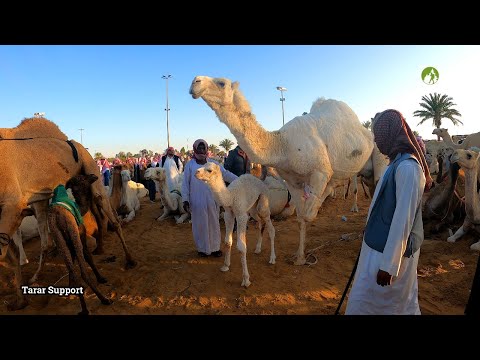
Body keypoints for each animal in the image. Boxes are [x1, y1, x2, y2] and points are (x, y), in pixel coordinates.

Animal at [189, 76, 374, 266]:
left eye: (221, 83)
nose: (195, 81)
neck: (283, 145)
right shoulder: (292, 180)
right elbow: (301, 217)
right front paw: (300, 257)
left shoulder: (320, 172)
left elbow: (307, 214)